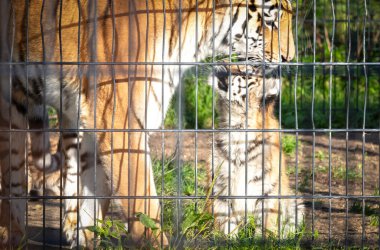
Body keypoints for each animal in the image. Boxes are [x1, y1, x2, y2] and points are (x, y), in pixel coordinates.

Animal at [209, 62, 304, 236]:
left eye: (245, 72)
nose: (222, 62)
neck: (237, 129)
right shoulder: (219, 187)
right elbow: (226, 223)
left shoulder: (268, 190)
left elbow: (266, 225)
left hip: (296, 203)